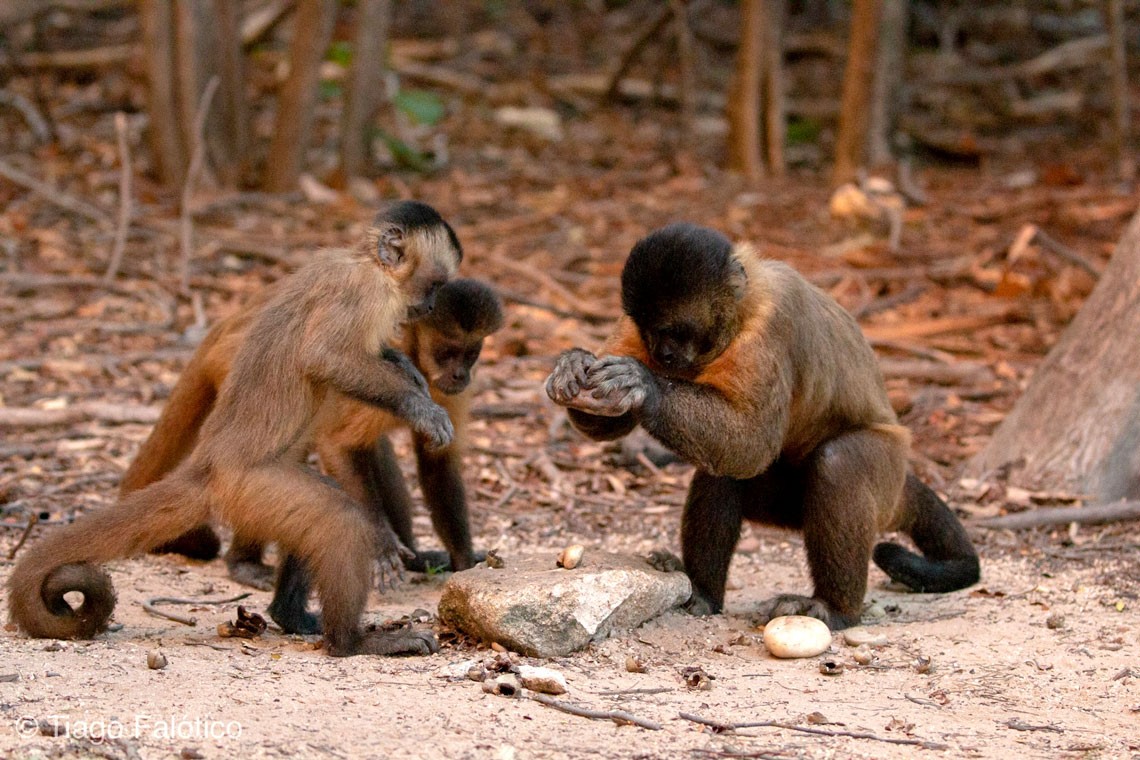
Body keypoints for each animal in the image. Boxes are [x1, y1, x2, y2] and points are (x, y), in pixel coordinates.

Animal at [7, 199, 462, 656]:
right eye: (436, 284)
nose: (430, 305)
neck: (367, 262)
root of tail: (206, 464)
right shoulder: (364, 292)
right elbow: (325, 357)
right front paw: (419, 408)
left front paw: (404, 368)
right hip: (247, 488)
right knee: (338, 518)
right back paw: (351, 642)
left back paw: (291, 616)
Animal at [119, 276, 503, 597]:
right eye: (447, 352)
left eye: (470, 354)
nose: (460, 374)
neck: (415, 353)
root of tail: (226, 326)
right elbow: (338, 444)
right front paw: (381, 546)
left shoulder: (446, 392)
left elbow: (437, 461)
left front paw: (463, 564)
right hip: (242, 376)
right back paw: (243, 564)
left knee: (376, 451)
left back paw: (415, 555)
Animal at [544, 224, 980, 628]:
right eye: (649, 330)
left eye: (674, 331)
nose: (659, 353)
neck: (743, 308)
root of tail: (900, 479)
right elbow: (614, 423)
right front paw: (573, 364)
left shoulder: (772, 327)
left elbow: (751, 446)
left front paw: (643, 385)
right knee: (720, 474)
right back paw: (703, 594)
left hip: (885, 473)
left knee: (838, 462)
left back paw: (835, 610)